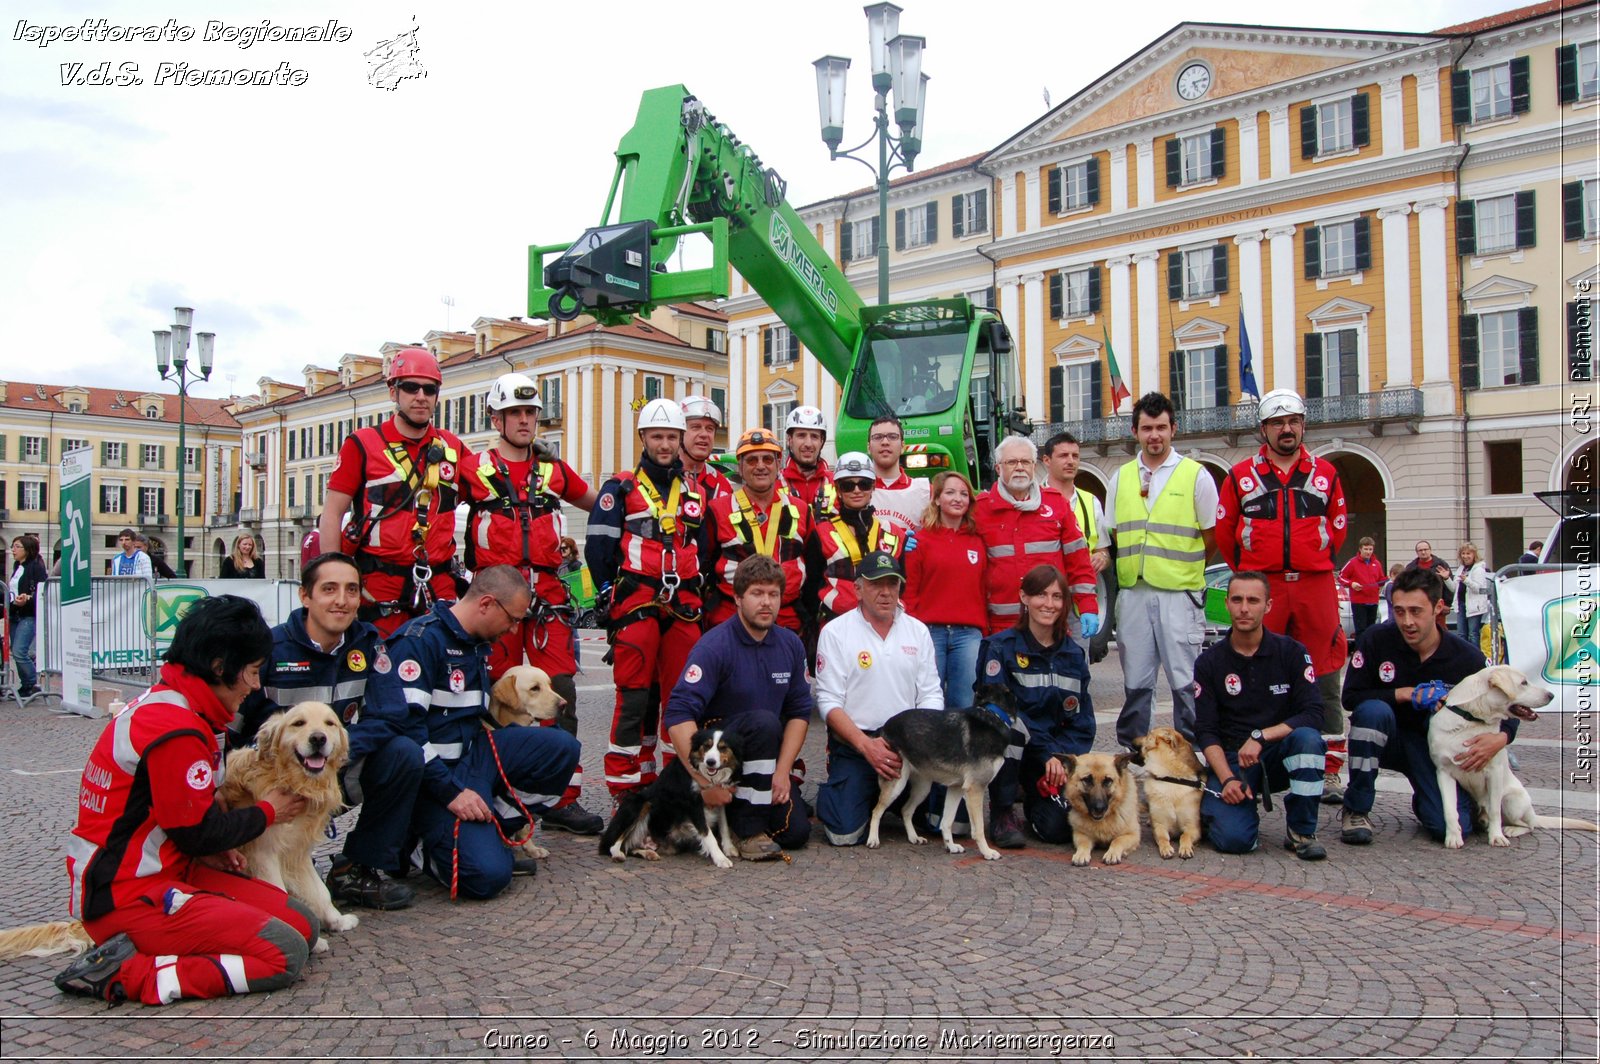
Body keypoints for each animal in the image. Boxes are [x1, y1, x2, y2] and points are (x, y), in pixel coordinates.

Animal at [601, 726, 742, 870]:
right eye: (706, 746)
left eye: (723, 748)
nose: (710, 762)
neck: (708, 776)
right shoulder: (693, 803)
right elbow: (707, 834)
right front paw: (720, 858)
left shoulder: (721, 798)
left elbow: (724, 825)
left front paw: (729, 848)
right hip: (638, 802)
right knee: (612, 845)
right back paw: (618, 855)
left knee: (629, 847)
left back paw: (648, 853)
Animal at [864, 681, 1011, 864]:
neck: (993, 715)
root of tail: (883, 728)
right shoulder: (975, 789)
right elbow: (978, 829)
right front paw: (987, 852)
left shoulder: (956, 788)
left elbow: (946, 821)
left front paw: (950, 846)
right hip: (896, 784)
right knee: (876, 811)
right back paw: (873, 839)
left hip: (923, 788)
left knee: (906, 810)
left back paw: (914, 837)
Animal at [1139, 726, 1203, 857]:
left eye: (1149, 735)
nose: (1134, 742)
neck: (1170, 778)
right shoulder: (1160, 825)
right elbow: (1163, 838)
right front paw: (1166, 848)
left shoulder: (1193, 827)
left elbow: (1184, 836)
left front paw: (1185, 848)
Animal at [1433, 665, 1593, 844]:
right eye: (1523, 682)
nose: (1551, 695)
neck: (1471, 720)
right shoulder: (1443, 772)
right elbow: (1449, 810)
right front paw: (1453, 838)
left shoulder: (1494, 772)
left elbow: (1495, 811)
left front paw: (1496, 837)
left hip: (1512, 801)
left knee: (1528, 825)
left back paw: (1510, 830)